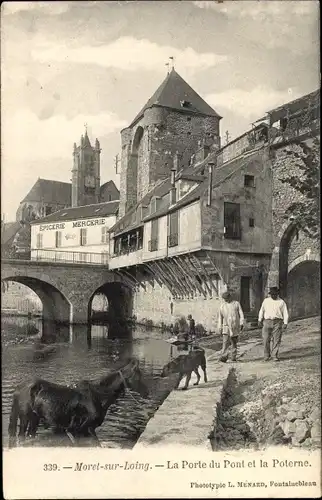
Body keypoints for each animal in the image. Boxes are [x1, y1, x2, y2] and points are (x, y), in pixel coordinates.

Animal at [8, 358, 150, 448]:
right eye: (139, 377)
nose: (147, 393)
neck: (98, 395)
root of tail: (19, 388)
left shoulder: (86, 430)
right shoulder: (84, 428)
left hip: (34, 419)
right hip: (25, 418)